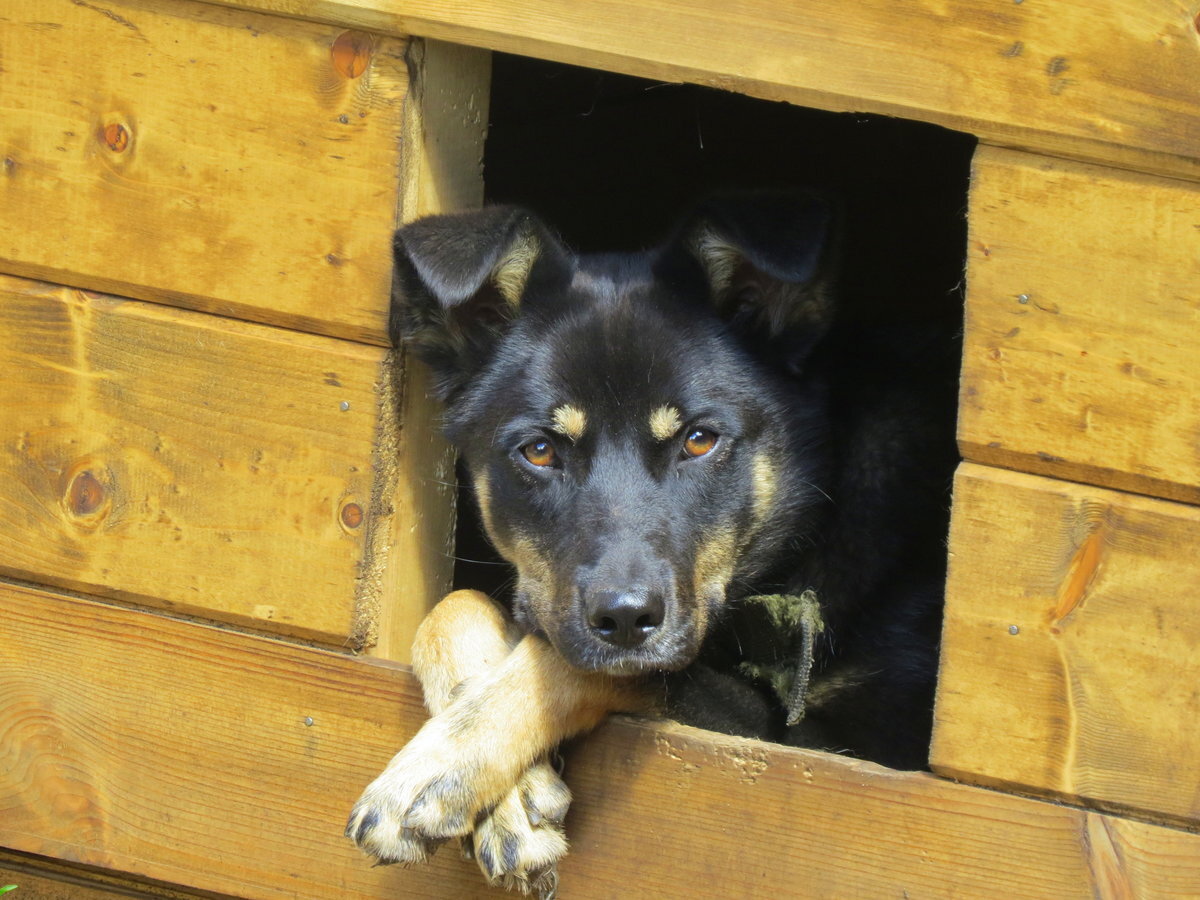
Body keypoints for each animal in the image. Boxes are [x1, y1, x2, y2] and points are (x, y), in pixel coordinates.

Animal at [348, 192, 955, 897]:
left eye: (699, 439)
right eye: (539, 449)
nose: (625, 619)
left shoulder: (843, 755)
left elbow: (575, 662)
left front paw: (435, 770)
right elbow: (452, 609)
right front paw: (508, 801)